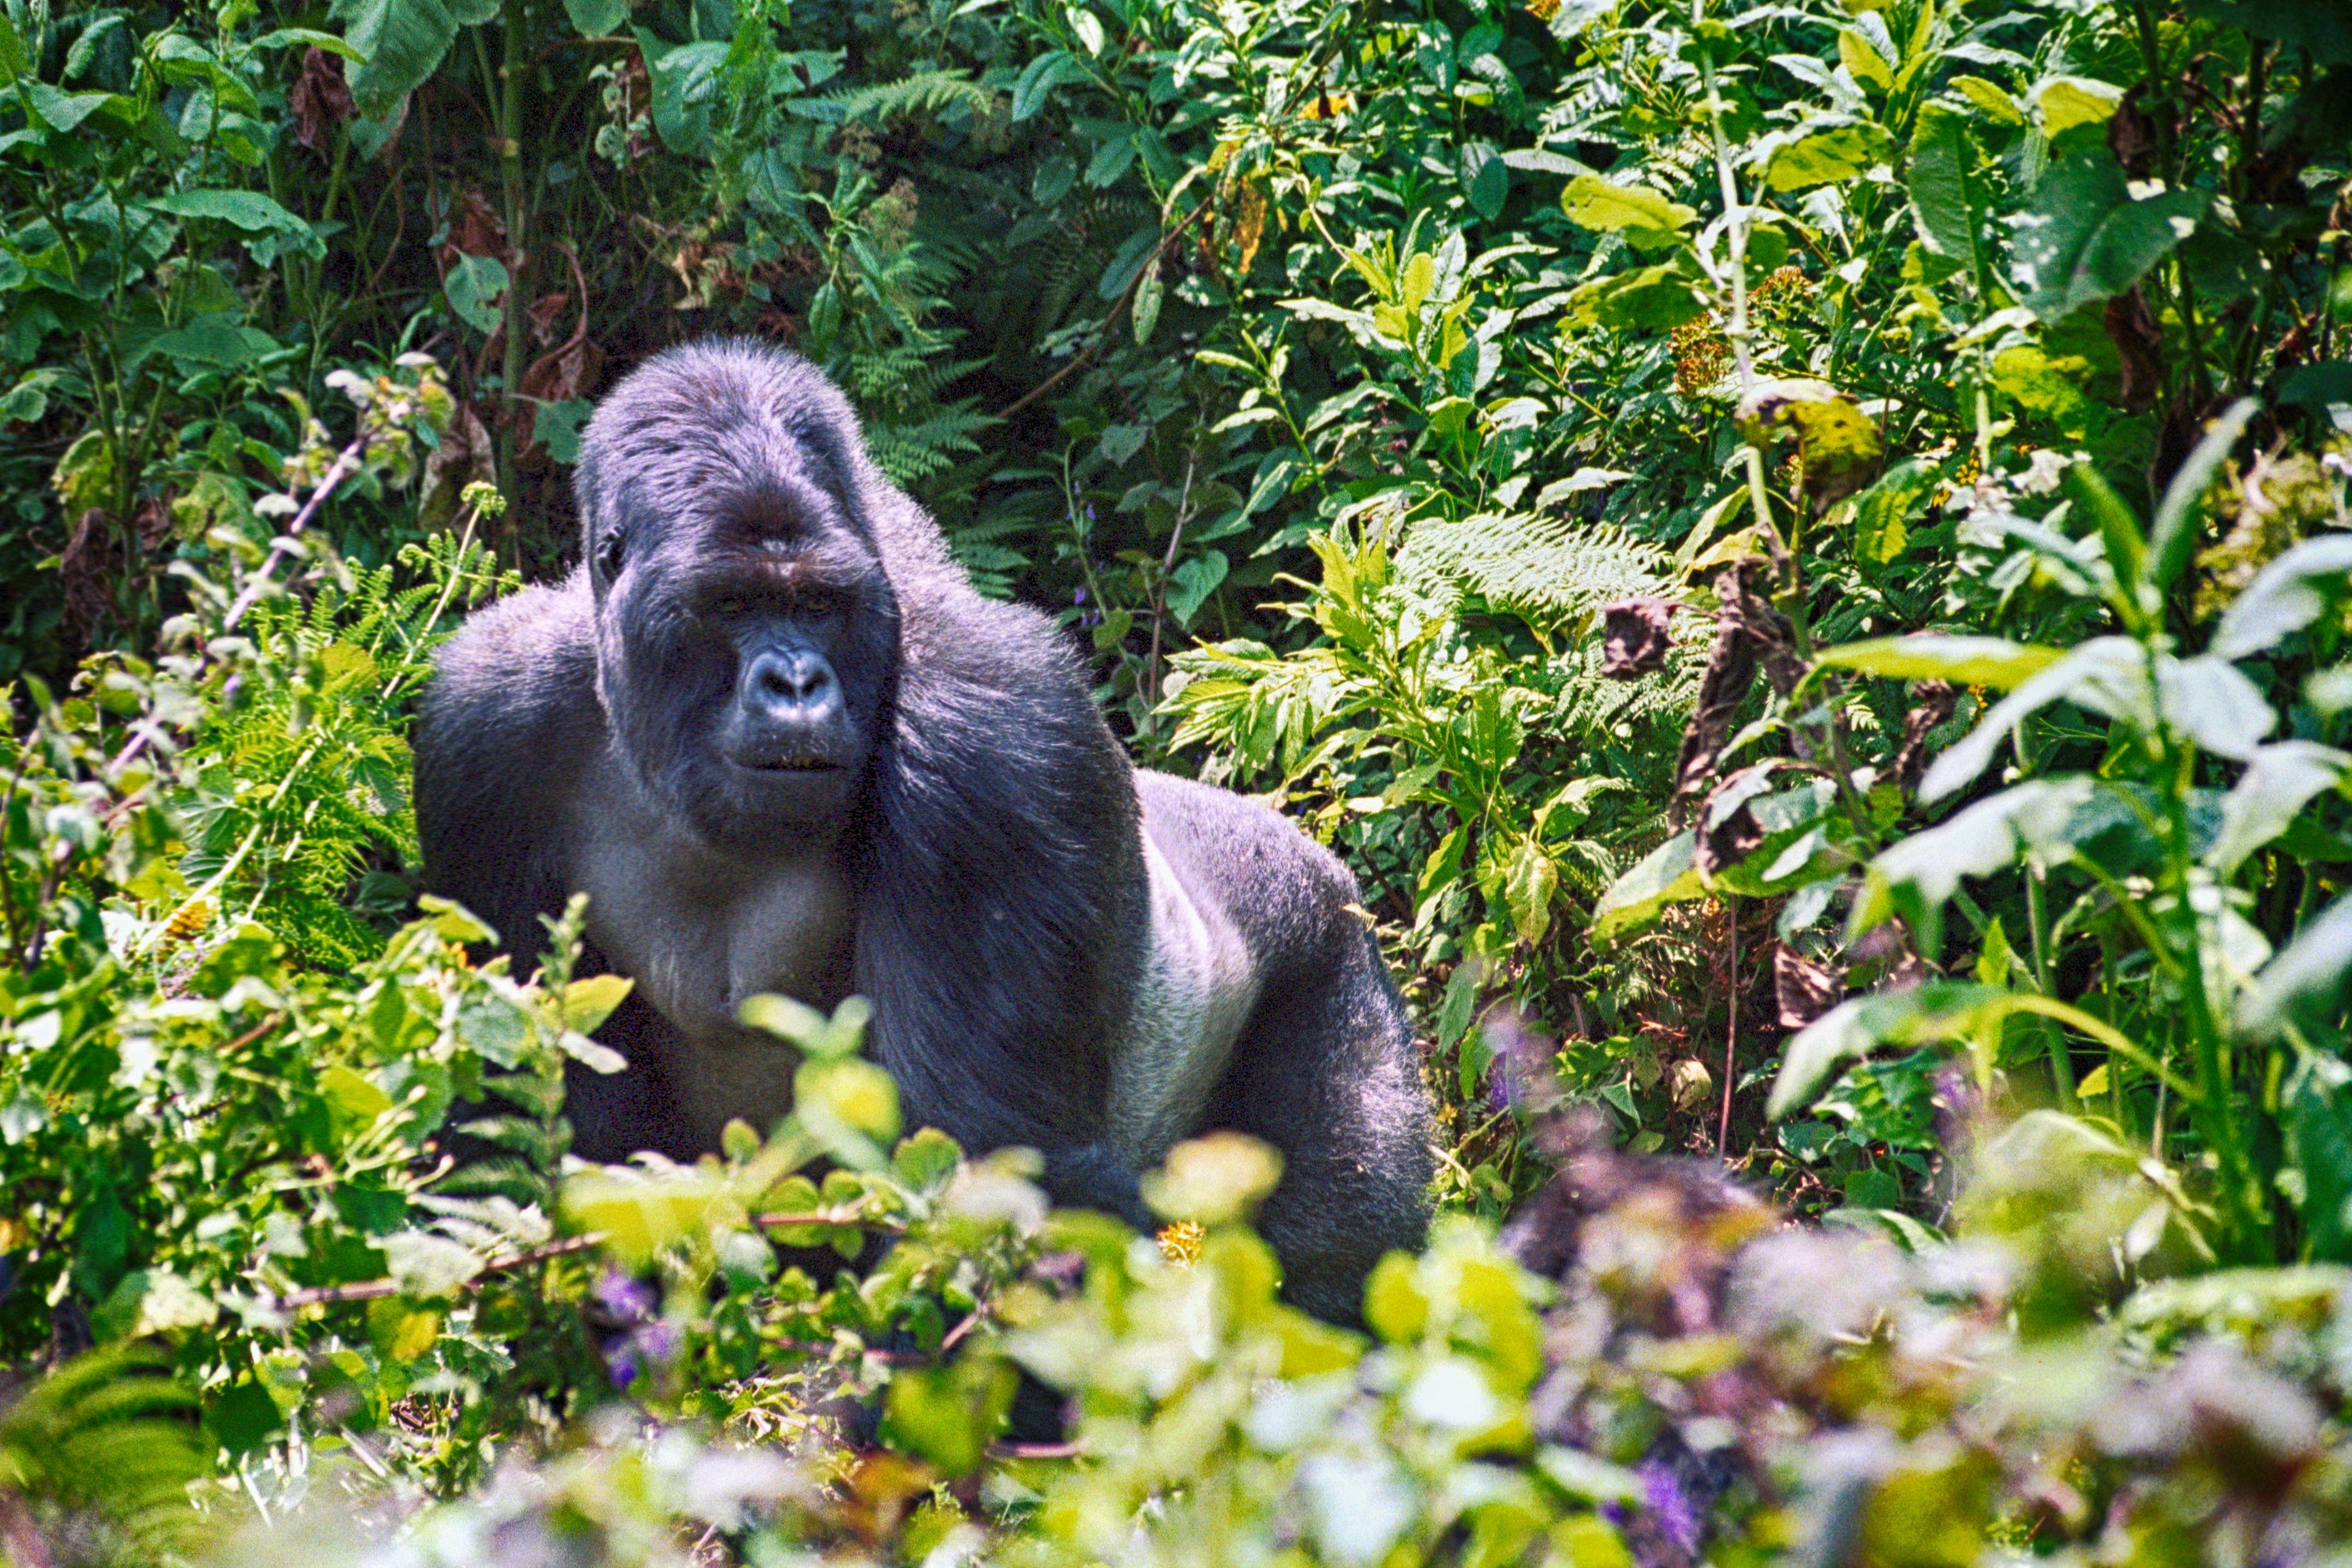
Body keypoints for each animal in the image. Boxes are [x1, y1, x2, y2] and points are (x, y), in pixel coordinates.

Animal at [418, 341, 1429, 1326]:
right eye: (732, 605)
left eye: (819, 604)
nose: (796, 684)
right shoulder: (481, 727)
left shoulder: (990, 735)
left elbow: (983, 1179)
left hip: (1333, 951)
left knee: (1335, 1270)